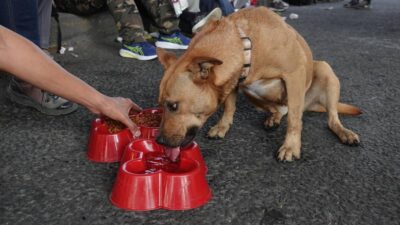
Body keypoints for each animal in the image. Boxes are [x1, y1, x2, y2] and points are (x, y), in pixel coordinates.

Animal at [155, 7, 360, 162]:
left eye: (173, 106)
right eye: (161, 105)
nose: (159, 141)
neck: (246, 44)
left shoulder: (295, 74)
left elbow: (294, 120)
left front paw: (291, 146)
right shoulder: (235, 80)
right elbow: (229, 107)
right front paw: (223, 126)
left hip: (324, 70)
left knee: (329, 117)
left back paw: (344, 132)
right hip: (251, 91)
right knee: (279, 110)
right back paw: (274, 117)